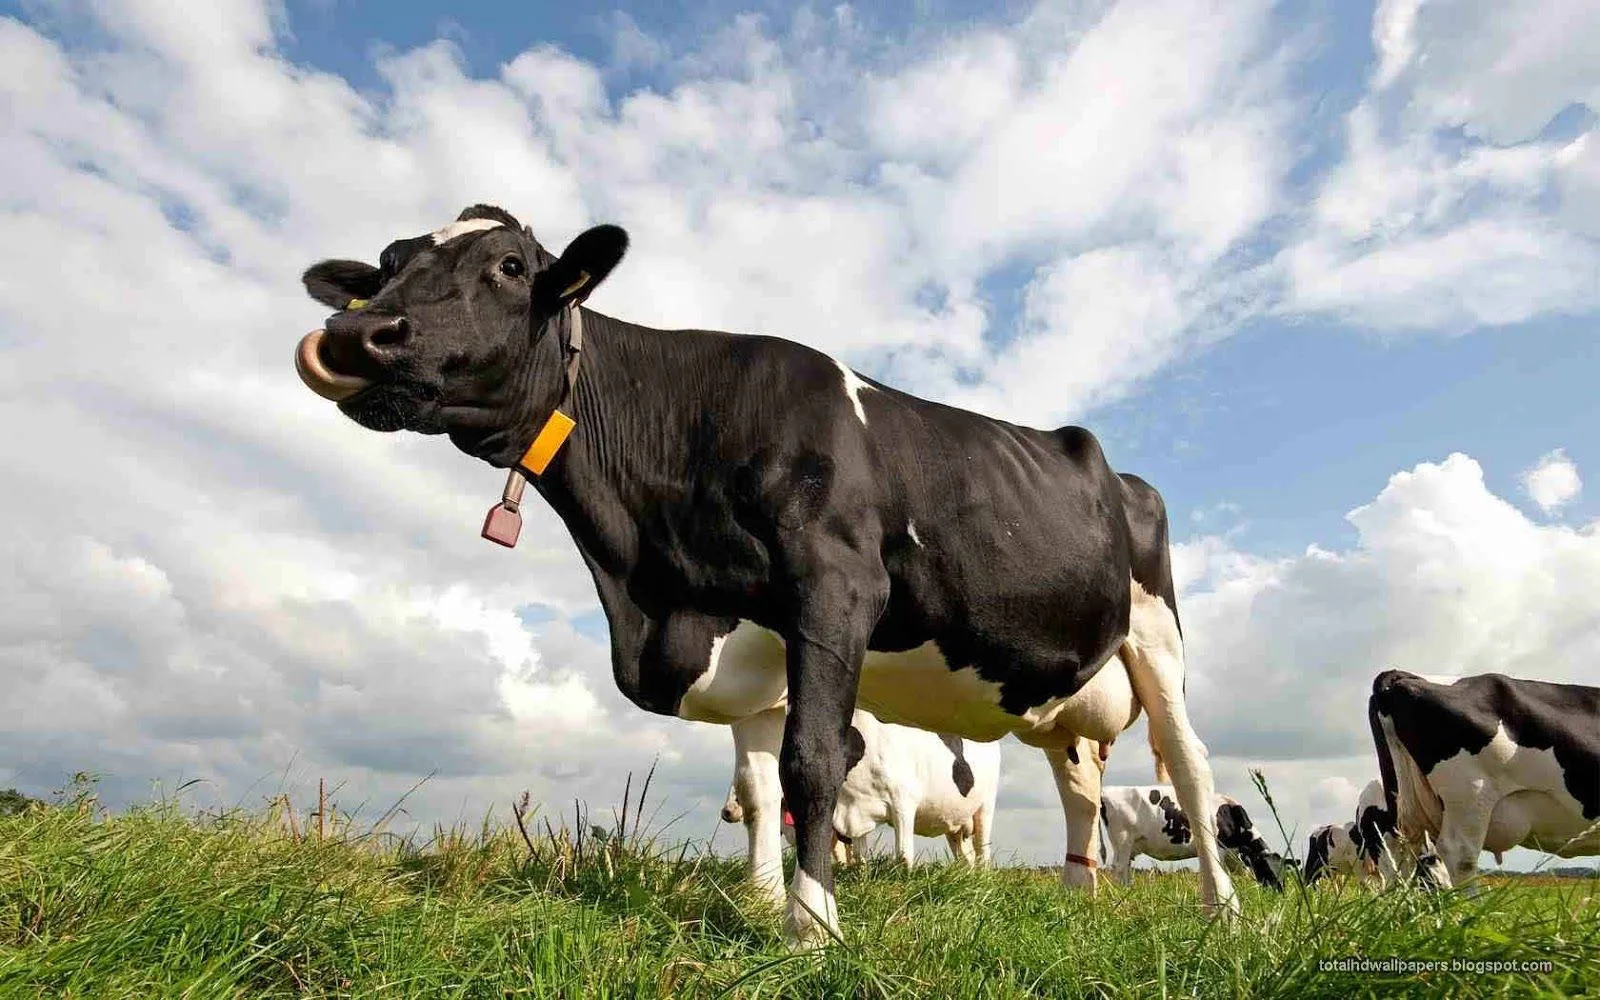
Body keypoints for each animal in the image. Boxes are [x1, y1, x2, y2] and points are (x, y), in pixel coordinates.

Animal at [292, 204, 1239, 946]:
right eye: (385, 264)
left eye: (511, 266)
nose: (352, 337)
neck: (651, 585)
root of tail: (1111, 465)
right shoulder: (751, 648)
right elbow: (755, 788)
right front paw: (758, 898)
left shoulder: (834, 590)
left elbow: (809, 761)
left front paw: (811, 925)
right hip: (1064, 701)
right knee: (1080, 787)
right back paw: (1080, 901)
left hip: (1158, 640)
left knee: (1193, 768)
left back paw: (1222, 911)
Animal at [1099, 785, 1289, 890]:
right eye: (1267, 868)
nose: (1279, 892)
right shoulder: (1218, 850)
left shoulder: (1233, 855)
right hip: (1122, 839)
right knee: (1119, 868)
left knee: (1125, 869)